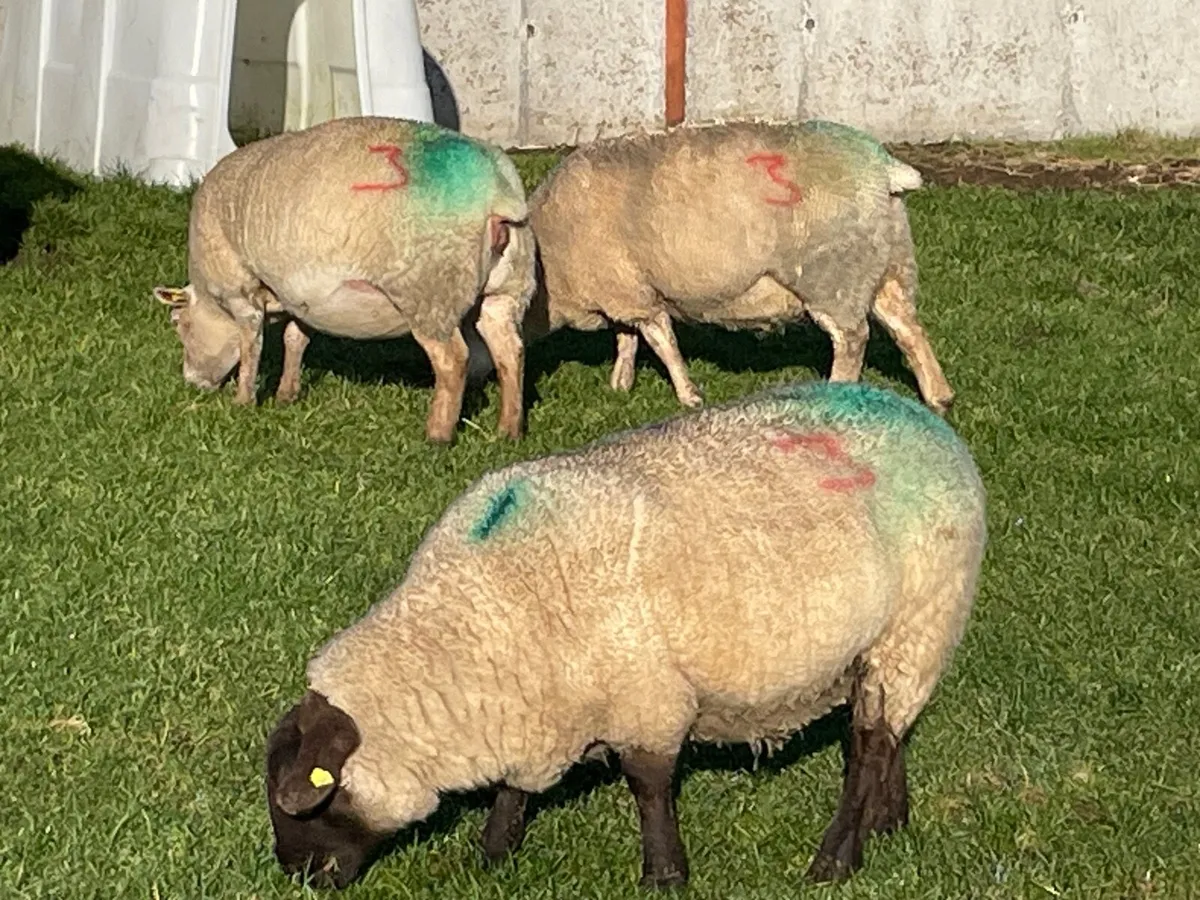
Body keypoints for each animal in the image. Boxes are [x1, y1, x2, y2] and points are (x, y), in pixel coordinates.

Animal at [154, 116, 536, 443]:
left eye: (180, 324)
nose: (192, 382)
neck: (211, 298)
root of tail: (497, 191)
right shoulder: (301, 297)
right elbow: (295, 338)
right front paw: (287, 394)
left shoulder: (240, 291)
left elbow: (252, 347)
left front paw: (243, 403)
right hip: (507, 289)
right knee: (510, 352)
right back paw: (508, 430)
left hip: (429, 291)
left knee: (452, 361)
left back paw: (438, 436)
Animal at [264, 379, 986, 889]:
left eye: (306, 801)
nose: (299, 878)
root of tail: (925, 419)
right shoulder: (541, 710)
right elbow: (514, 790)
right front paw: (493, 855)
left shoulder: (648, 701)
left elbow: (649, 788)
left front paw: (664, 875)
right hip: (899, 647)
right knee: (889, 735)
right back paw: (889, 824)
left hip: (917, 624)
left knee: (866, 748)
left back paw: (836, 860)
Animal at [471, 119, 954, 415]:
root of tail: (884, 169)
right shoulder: (626, 290)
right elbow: (627, 339)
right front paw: (621, 383)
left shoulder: (634, 293)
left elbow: (661, 341)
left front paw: (688, 396)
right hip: (886, 265)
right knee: (909, 328)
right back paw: (939, 397)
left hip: (833, 276)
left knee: (852, 340)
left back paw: (837, 392)